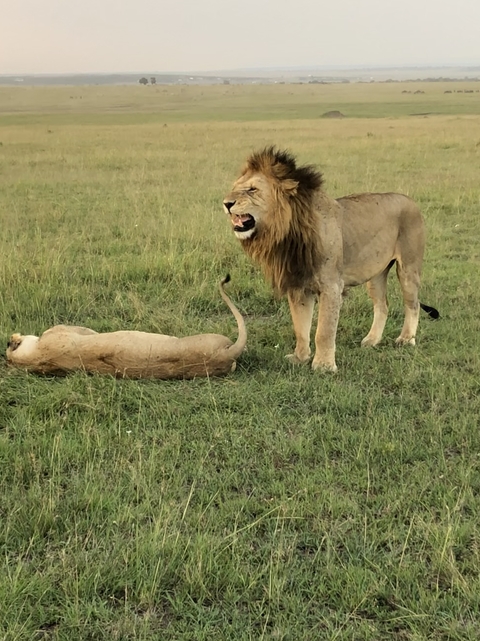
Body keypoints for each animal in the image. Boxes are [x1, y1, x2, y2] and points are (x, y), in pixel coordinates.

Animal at [223, 147, 438, 372]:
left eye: (252, 190)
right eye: (234, 188)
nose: (226, 203)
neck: (287, 232)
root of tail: (410, 200)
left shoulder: (331, 286)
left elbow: (324, 331)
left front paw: (324, 366)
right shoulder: (298, 286)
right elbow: (300, 327)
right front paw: (300, 358)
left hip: (408, 268)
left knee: (413, 304)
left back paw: (406, 339)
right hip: (376, 274)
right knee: (382, 305)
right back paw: (372, 340)